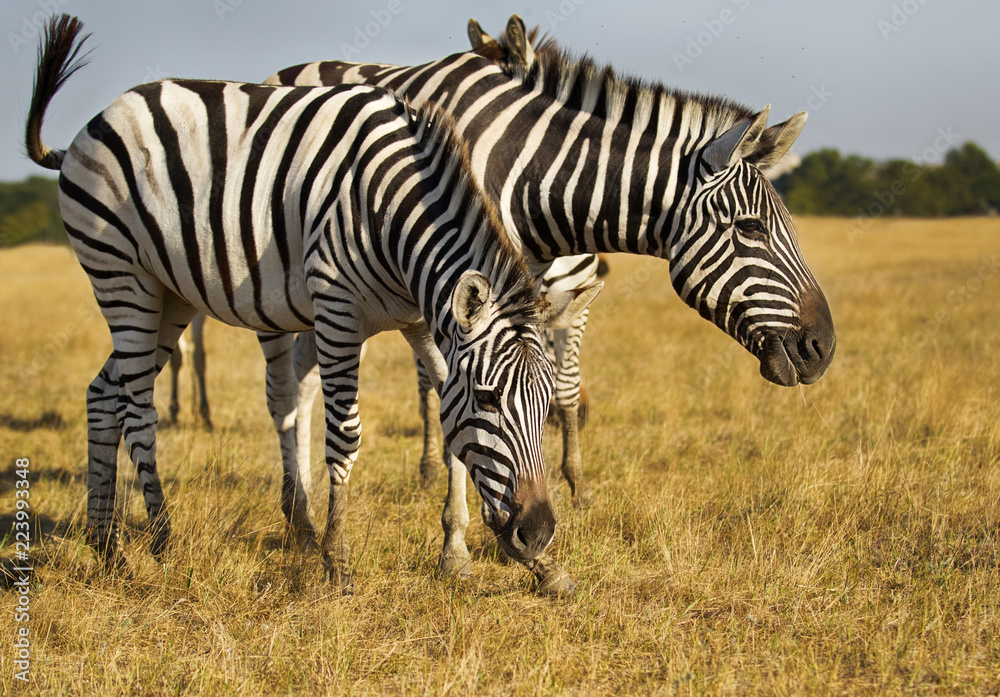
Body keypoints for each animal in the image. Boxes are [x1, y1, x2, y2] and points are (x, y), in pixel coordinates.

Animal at [25, 15, 601, 589]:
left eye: (545, 404)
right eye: (487, 398)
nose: (537, 531)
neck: (392, 218)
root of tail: (93, 124)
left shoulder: (423, 322)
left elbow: (446, 411)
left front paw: (534, 565)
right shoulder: (338, 311)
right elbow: (346, 436)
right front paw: (337, 558)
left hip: (169, 294)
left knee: (104, 394)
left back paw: (106, 546)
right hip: (122, 276)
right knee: (137, 406)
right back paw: (162, 538)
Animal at [263, 13, 837, 577]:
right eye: (751, 228)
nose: (823, 348)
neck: (532, 182)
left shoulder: (533, 294)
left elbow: (555, 390)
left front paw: (554, 512)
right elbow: (468, 401)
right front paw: (464, 541)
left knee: (308, 381)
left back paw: (306, 508)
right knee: (287, 389)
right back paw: (303, 512)